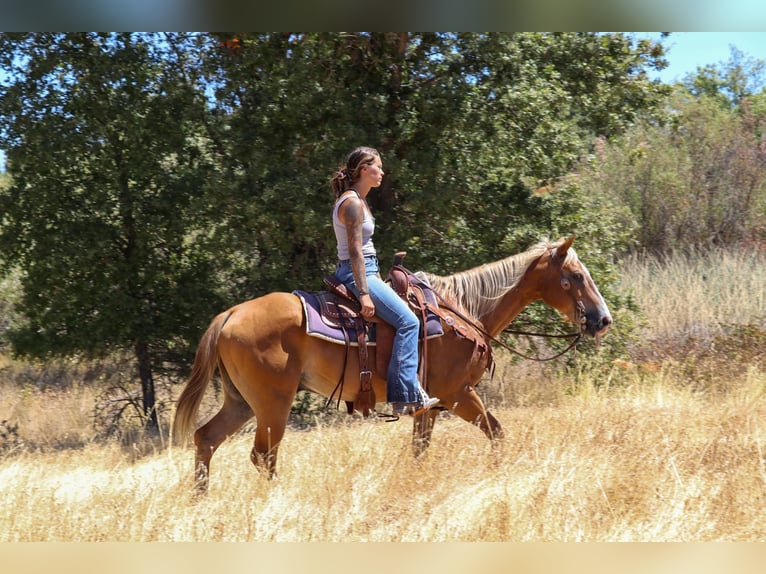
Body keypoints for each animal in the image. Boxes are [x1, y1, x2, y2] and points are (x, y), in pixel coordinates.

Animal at [172, 236, 612, 492]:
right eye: (575, 275)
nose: (603, 319)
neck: (465, 311)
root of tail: (230, 314)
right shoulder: (458, 395)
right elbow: (497, 433)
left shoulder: (429, 405)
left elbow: (420, 450)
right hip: (272, 404)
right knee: (263, 456)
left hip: (241, 402)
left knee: (206, 439)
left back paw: (199, 501)